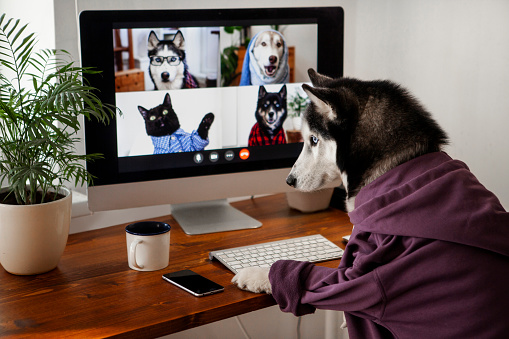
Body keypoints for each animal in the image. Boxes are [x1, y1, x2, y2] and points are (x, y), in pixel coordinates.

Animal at [231, 68, 508, 338]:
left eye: (313, 140)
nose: (289, 180)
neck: (395, 167)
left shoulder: (360, 278)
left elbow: (306, 275)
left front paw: (254, 273)